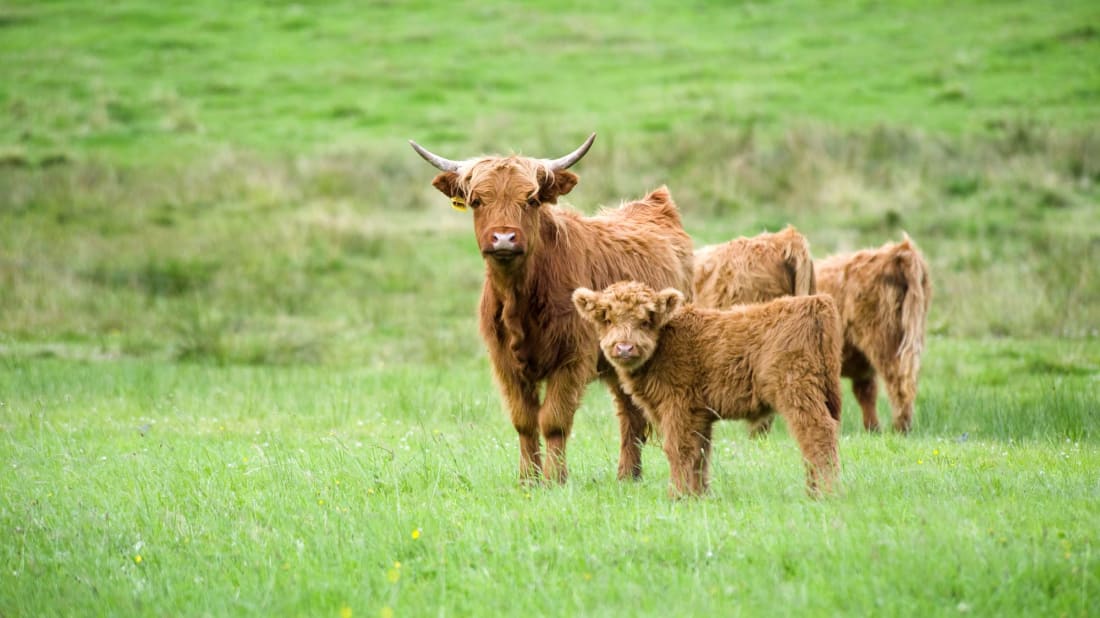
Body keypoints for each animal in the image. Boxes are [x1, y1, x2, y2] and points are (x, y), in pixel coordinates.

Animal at [409, 133, 690, 481]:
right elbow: (524, 421)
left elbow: (554, 421)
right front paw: (528, 480)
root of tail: (653, 204)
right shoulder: (504, 363)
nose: (504, 238)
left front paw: (555, 478)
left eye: (530, 199)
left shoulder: (571, 358)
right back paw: (628, 477)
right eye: (477, 201)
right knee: (630, 413)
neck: (520, 300)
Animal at [814, 233, 932, 431]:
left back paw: (899, 428)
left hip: (884, 341)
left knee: (899, 381)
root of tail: (900, 251)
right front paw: (872, 429)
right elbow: (866, 393)